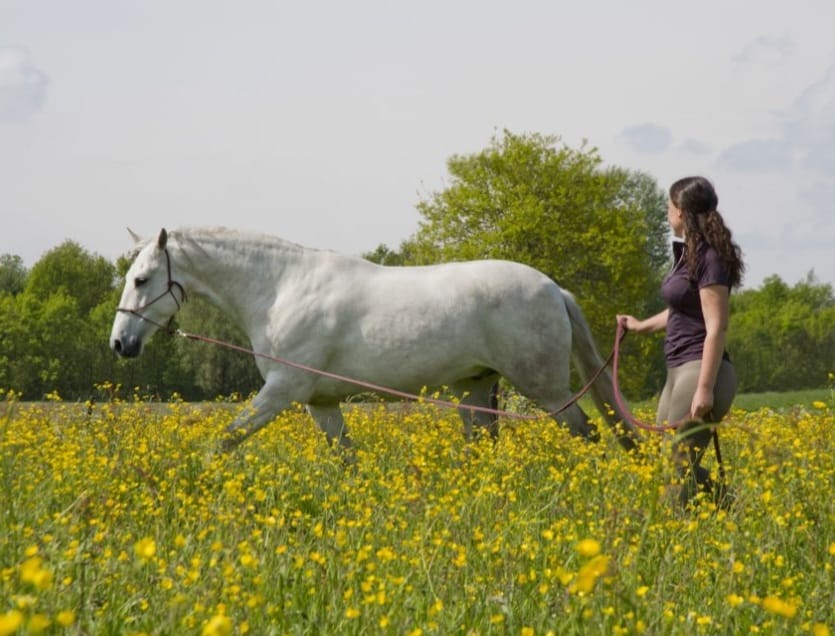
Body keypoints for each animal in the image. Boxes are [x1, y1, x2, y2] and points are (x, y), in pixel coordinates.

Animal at [110, 227, 640, 451]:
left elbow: (223, 441)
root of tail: (553, 288)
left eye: (141, 280)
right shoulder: (321, 403)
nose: (120, 344)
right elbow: (347, 459)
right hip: (474, 389)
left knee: (591, 435)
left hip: (546, 389)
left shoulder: (282, 391)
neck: (281, 288)